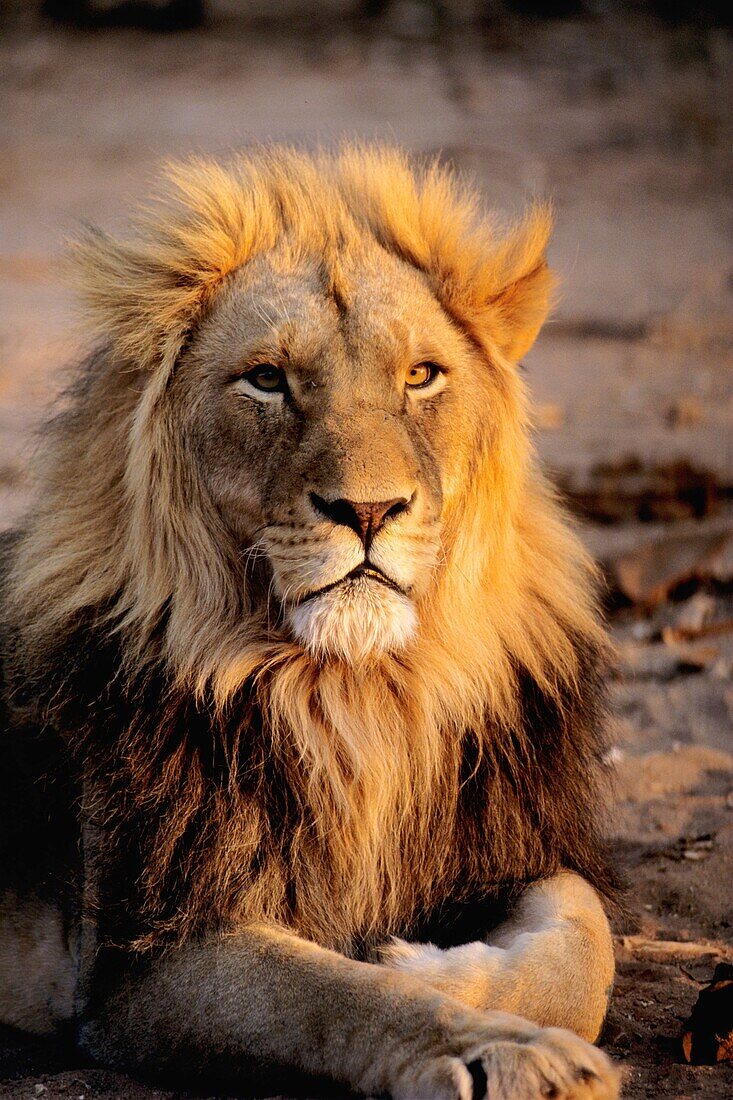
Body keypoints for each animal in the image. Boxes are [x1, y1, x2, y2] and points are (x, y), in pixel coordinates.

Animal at [0, 148, 620, 1100]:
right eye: (267, 378)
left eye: (420, 376)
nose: (367, 511)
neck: (358, 698)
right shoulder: (143, 952)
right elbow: (336, 995)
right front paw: (492, 1047)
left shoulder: (507, 841)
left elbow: (584, 941)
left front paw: (431, 965)